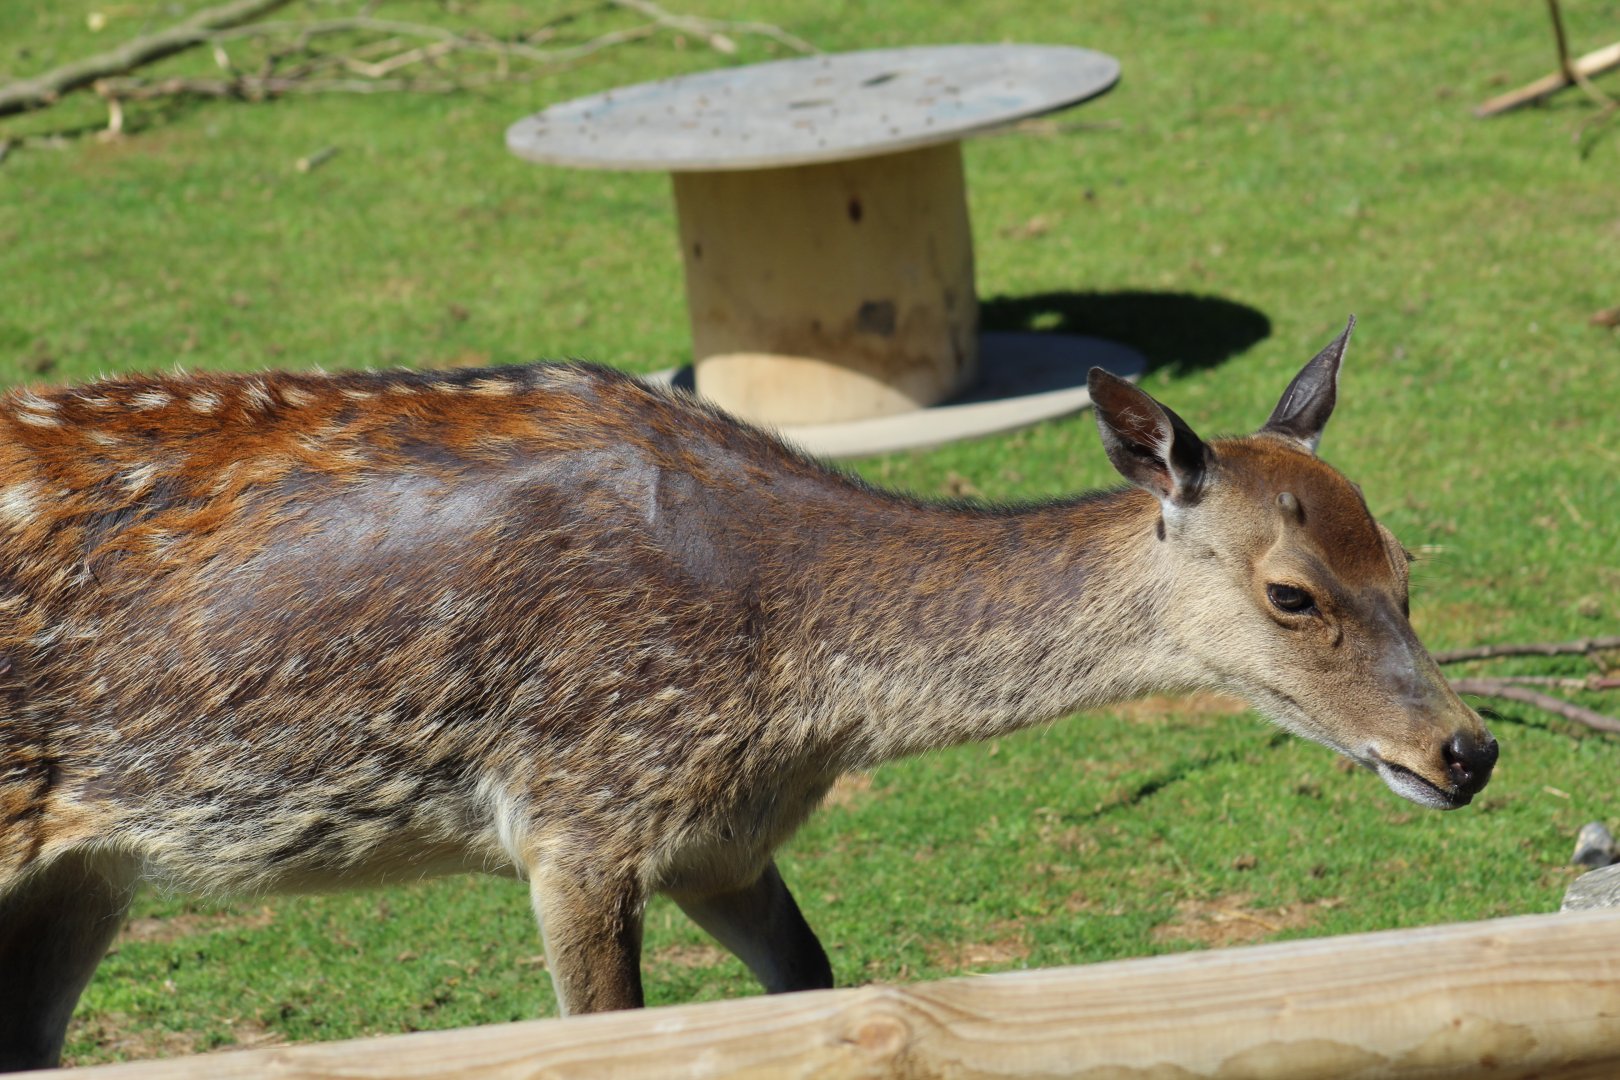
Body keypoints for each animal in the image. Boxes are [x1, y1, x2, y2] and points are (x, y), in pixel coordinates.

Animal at [0, 316, 1495, 1070]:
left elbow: (813, 996)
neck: (793, 690)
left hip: (85, 872)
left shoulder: (718, 843)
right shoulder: (579, 812)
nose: (1466, 748)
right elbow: (608, 1034)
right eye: (1293, 592)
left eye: (1405, 564)